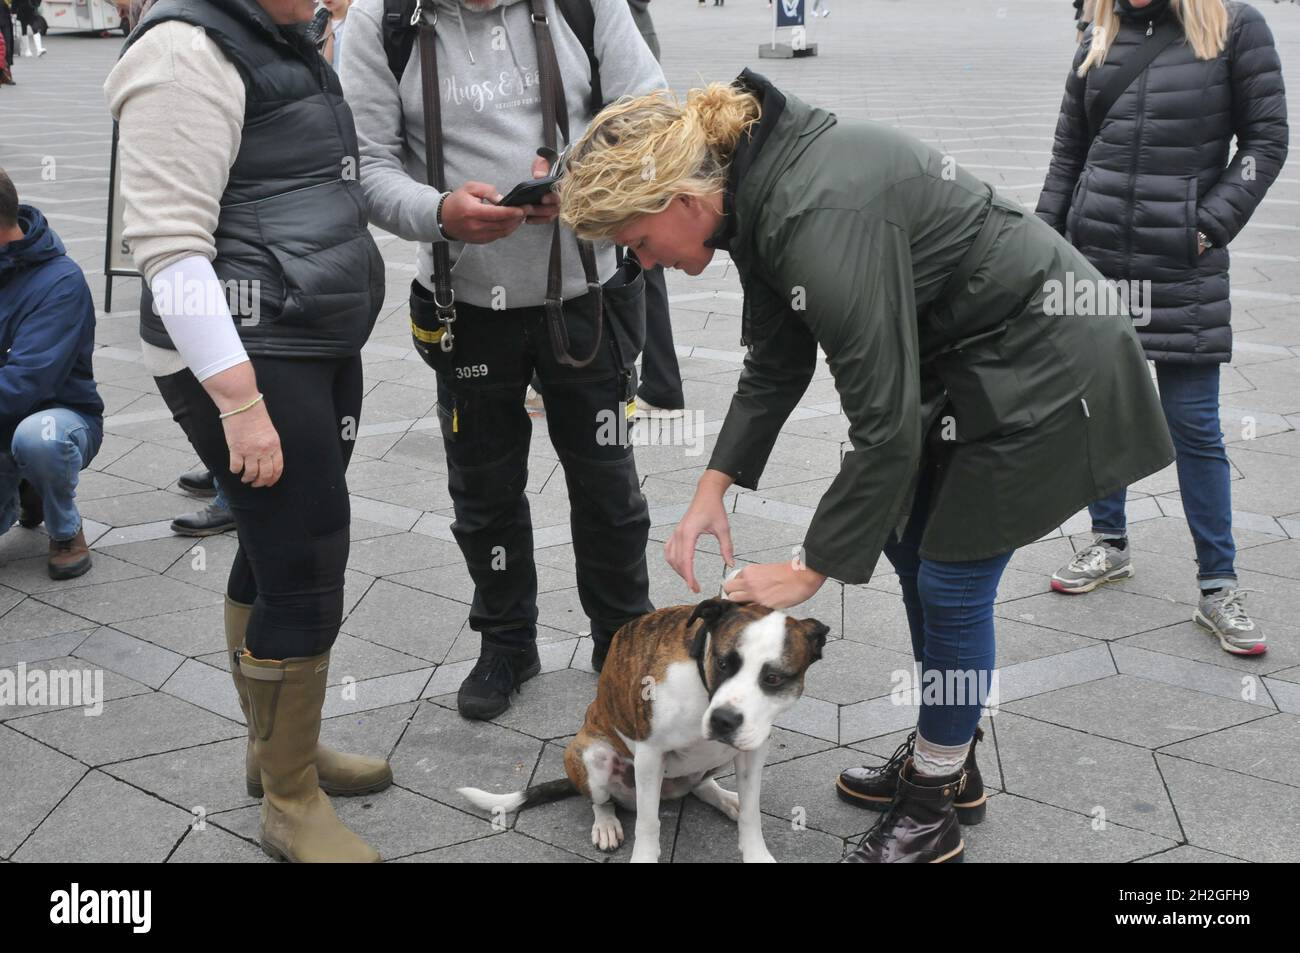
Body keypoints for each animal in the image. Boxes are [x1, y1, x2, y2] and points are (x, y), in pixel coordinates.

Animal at [457, 603, 826, 863]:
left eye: (773, 678)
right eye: (723, 663)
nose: (724, 721)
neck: (701, 683)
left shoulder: (753, 750)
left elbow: (752, 815)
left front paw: (756, 853)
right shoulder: (650, 756)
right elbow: (648, 824)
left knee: (701, 784)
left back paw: (723, 797)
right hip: (593, 754)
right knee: (600, 800)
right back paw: (606, 824)